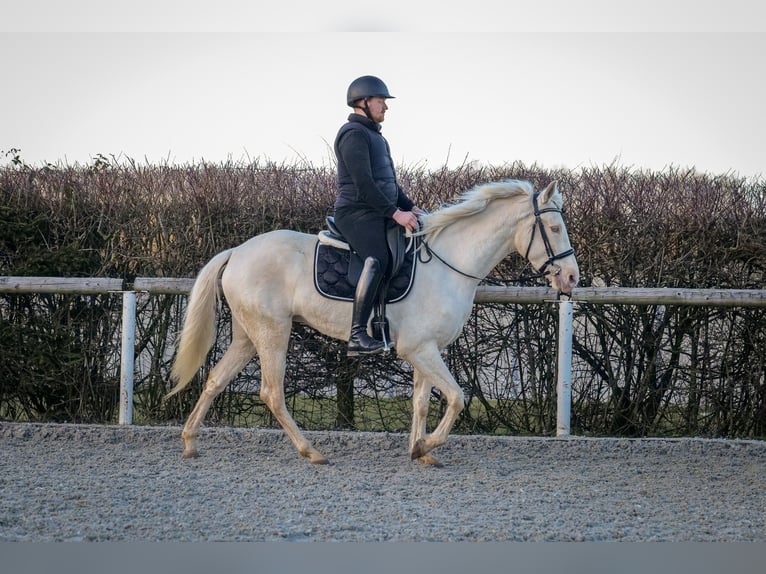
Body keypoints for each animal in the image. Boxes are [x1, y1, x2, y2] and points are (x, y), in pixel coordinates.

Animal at [166, 180, 576, 468]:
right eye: (554, 228)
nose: (572, 277)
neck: (449, 264)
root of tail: (237, 251)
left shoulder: (426, 351)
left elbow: (421, 403)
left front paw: (419, 451)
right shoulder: (419, 349)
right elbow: (458, 398)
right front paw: (425, 445)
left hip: (248, 336)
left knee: (216, 379)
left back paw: (189, 442)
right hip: (272, 333)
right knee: (271, 392)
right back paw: (311, 451)